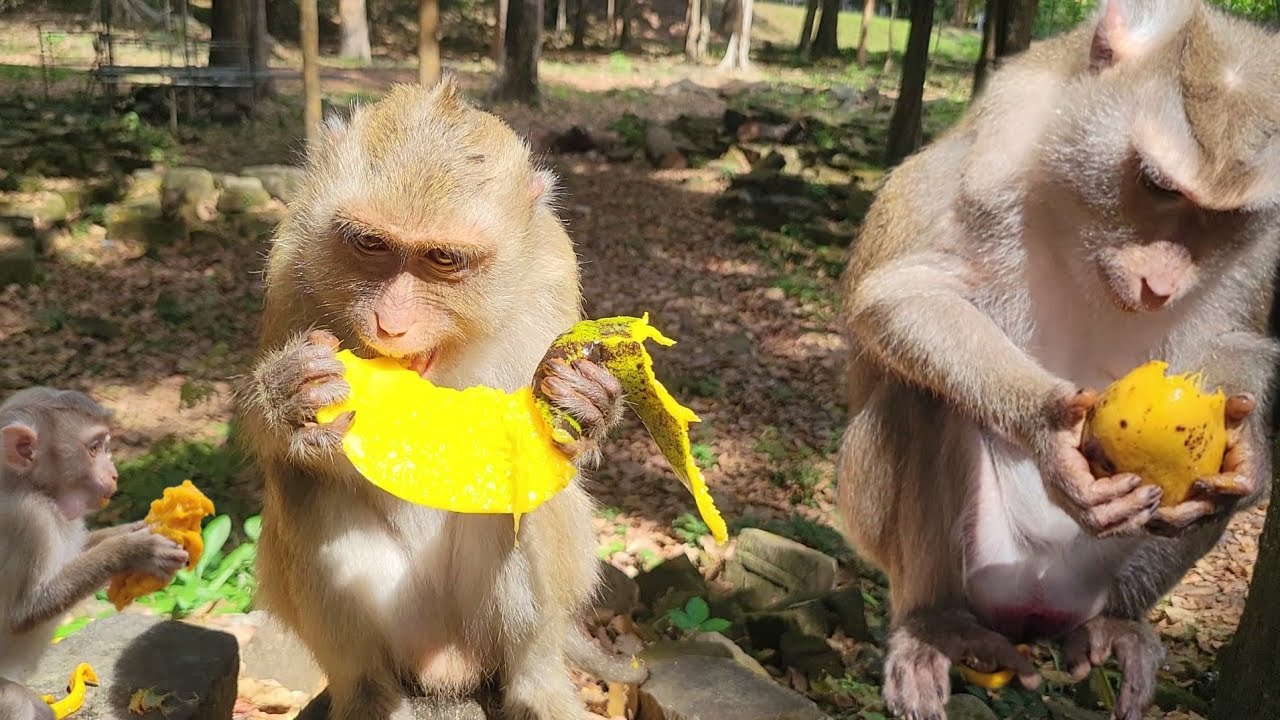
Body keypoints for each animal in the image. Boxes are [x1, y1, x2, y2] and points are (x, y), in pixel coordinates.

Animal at [0, 387, 189, 718]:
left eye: (105, 446)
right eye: (93, 448)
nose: (114, 474)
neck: (32, 487)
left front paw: (142, 527)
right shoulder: (27, 520)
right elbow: (25, 611)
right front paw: (137, 550)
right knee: (14, 699)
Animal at [234, 78, 648, 720]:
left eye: (443, 259)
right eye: (371, 243)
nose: (391, 323)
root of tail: (445, 665)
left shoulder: (552, 276)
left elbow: (552, 449)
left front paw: (587, 404)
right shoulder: (291, 259)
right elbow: (278, 440)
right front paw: (289, 397)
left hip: (473, 627)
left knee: (527, 479)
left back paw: (535, 685)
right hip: (405, 624)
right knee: (303, 485)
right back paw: (367, 693)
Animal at [834, 2, 1280, 719]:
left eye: (1224, 216)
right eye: (1156, 185)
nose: (1161, 281)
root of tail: (1034, 611)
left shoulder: (1266, 243)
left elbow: (1233, 345)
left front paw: (1249, 460)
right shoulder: (1000, 139)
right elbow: (904, 293)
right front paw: (1049, 432)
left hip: (1092, 574)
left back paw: (1116, 624)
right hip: (974, 555)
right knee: (917, 393)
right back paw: (934, 623)